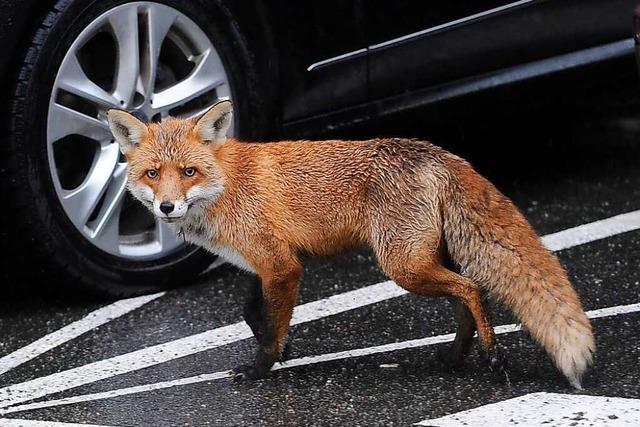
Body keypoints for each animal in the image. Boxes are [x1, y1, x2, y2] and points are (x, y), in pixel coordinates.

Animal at [106, 100, 596, 388]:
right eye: (153, 173)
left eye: (188, 171)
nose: (167, 207)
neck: (226, 185)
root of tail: (436, 152)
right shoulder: (264, 264)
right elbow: (253, 313)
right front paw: (283, 348)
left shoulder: (282, 266)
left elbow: (269, 327)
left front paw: (262, 366)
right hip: (424, 260)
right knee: (465, 297)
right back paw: (455, 358)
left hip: (403, 266)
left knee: (473, 289)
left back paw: (494, 356)